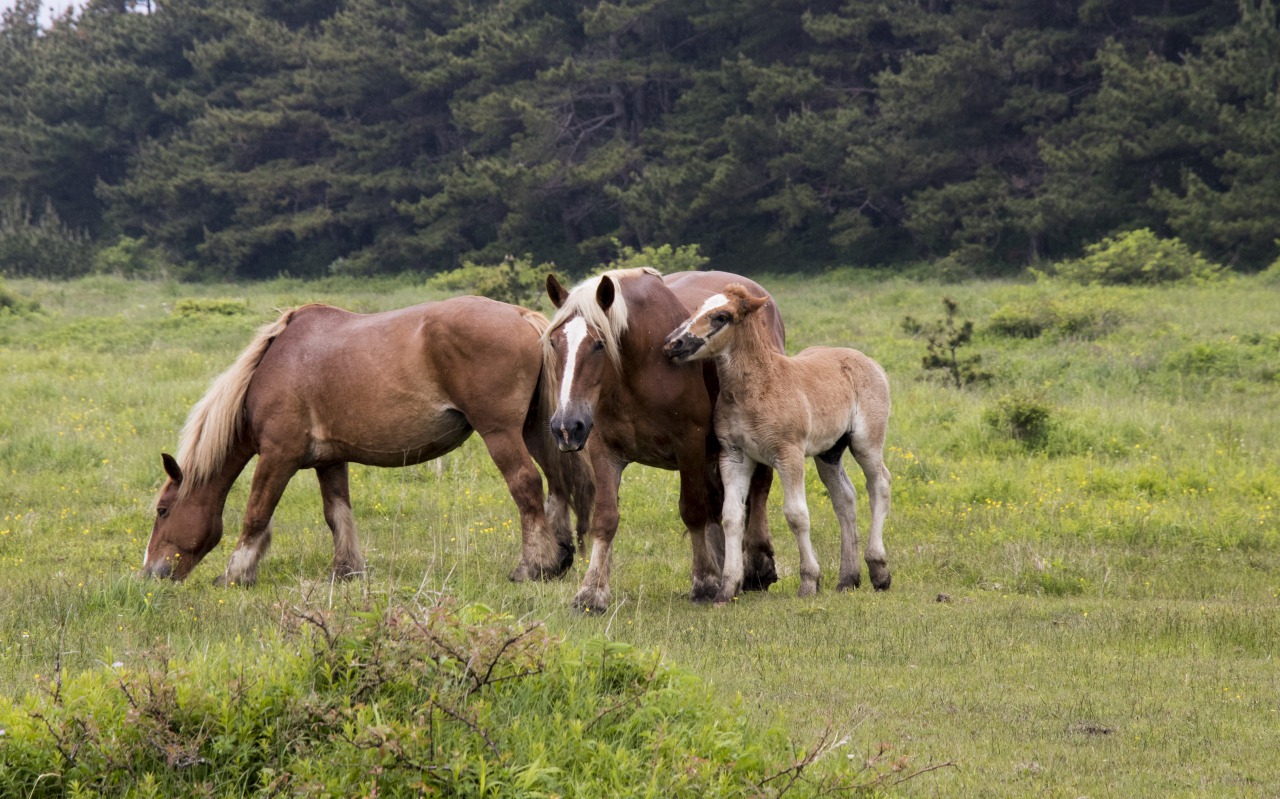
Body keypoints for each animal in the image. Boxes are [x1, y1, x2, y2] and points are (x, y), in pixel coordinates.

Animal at [142, 296, 593, 587]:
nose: (150, 574)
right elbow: (337, 514)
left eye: (163, 511)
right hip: (536, 430)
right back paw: (560, 558)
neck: (273, 366)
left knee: (527, 486)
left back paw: (533, 566)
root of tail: (522, 316)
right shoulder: (329, 461)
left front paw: (236, 573)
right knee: (558, 485)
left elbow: (256, 514)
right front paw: (346, 571)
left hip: (501, 433)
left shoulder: (277, 456)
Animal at [543, 267, 786, 612]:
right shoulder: (603, 451)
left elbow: (694, 510)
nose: (566, 427)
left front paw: (704, 582)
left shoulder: (690, 446)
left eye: (599, 344)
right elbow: (605, 518)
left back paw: (757, 567)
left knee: (758, 493)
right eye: (554, 342)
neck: (639, 365)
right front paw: (592, 592)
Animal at [663, 283, 892, 602]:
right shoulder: (734, 456)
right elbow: (731, 515)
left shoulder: (788, 454)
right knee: (844, 498)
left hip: (866, 442)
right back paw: (848, 578)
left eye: (722, 316)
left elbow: (796, 515)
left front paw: (809, 582)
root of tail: (870, 362)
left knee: (879, 484)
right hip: (829, 452)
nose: (673, 344)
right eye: (696, 308)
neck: (757, 386)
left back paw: (879, 570)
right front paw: (727, 588)